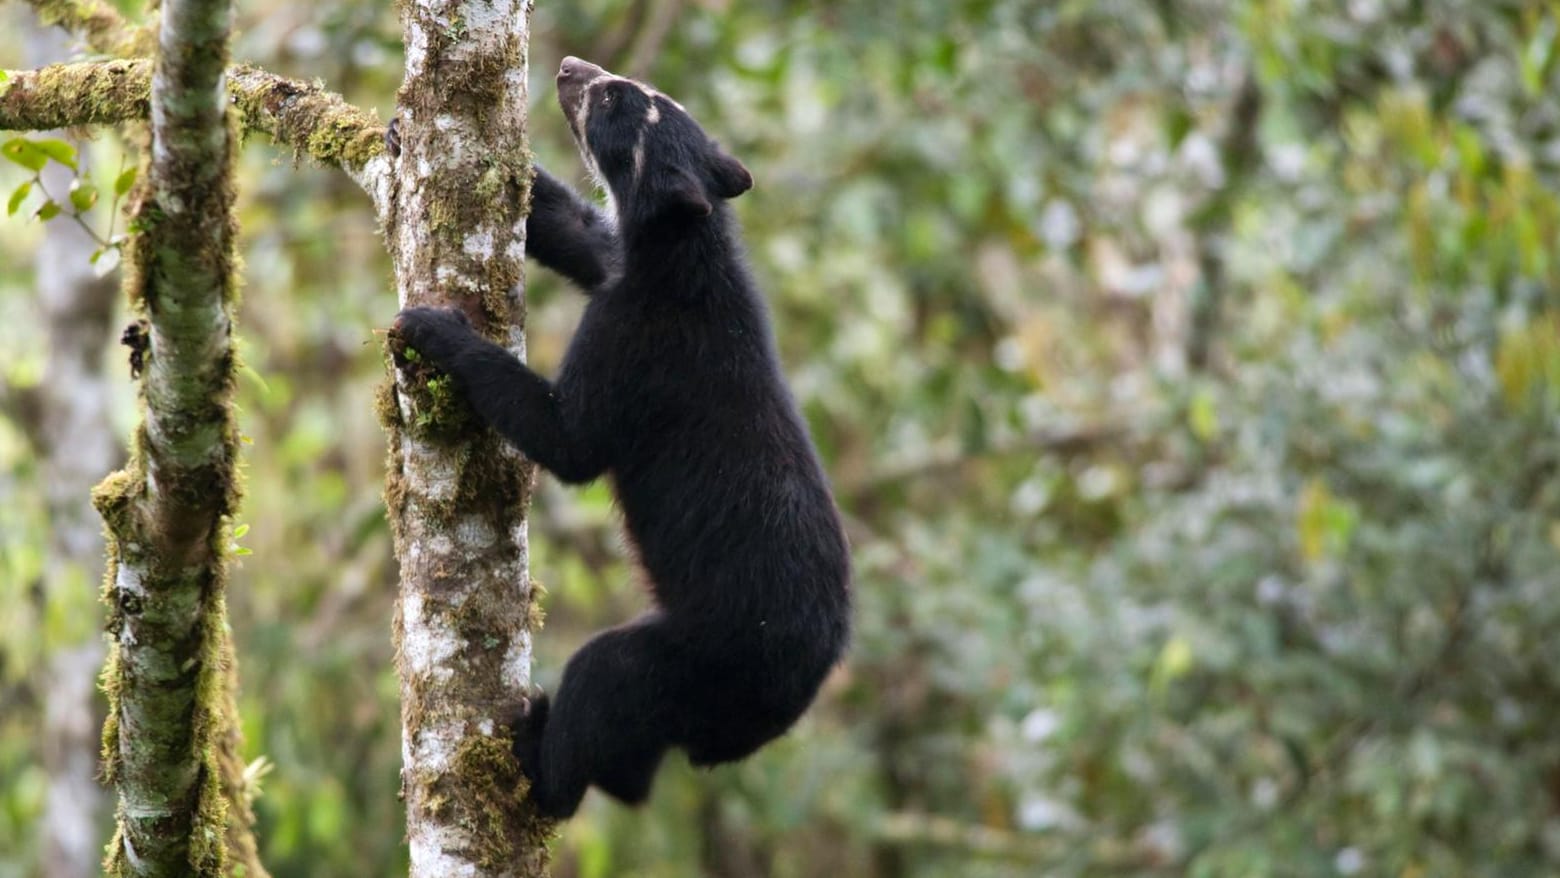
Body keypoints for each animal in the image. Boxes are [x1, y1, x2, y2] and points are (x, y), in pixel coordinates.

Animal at [390, 58, 854, 823]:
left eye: (614, 100)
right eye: (640, 92)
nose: (570, 67)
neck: (681, 249)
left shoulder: (641, 340)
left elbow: (570, 438)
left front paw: (431, 328)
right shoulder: (619, 265)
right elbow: (585, 235)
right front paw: (403, 130)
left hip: (697, 660)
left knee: (603, 685)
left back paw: (533, 755)